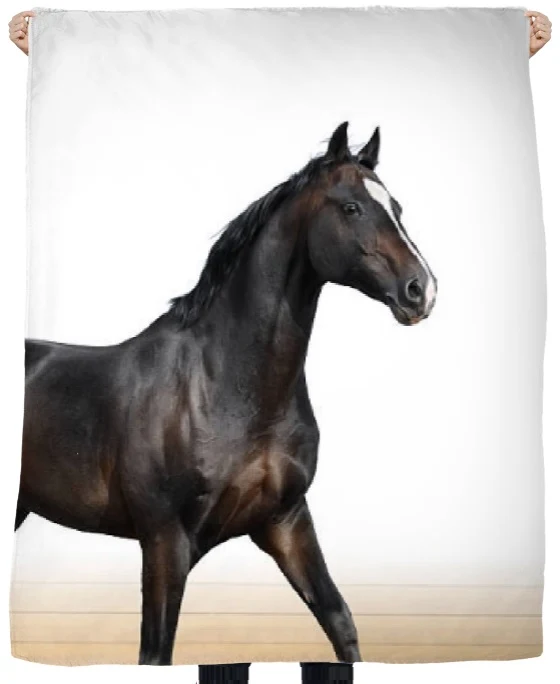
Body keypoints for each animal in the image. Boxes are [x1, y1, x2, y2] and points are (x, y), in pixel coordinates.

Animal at [16, 122, 437, 665]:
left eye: (398, 208)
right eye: (351, 207)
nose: (421, 290)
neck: (224, 390)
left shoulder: (285, 521)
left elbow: (339, 619)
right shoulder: (165, 540)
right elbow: (155, 651)